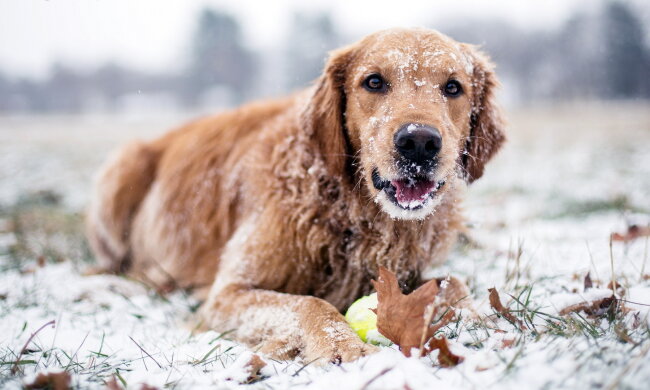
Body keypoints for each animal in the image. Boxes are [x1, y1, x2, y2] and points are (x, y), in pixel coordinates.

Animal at [86, 26, 504, 362]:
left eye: (453, 87)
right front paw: (343, 346)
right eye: (374, 82)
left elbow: (452, 282)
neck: (349, 211)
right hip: (121, 170)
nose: (419, 142)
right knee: (113, 264)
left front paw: (483, 320)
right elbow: (310, 303)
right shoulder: (227, 294)